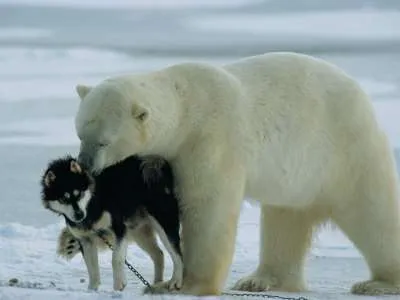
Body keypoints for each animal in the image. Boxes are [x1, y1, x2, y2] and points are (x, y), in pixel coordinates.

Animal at [41, 156, 183, 292]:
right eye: (63, 199)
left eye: (79, 194)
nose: (79, 215)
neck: (92, 207)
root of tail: (156, 164)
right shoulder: (85, 240)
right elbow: (91, 267)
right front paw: (92, 289)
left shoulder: (119, 230)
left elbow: (116, 258)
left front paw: (119, 284)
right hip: (139, 233)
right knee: (159, 254)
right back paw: (155, 284)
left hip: (164, 224)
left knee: (177, 254)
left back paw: (176, 280)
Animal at [73, 51, 400, 296]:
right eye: (80, 134)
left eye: (103, 141)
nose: (85, 165)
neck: (187, 104)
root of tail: (361, 96)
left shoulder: (209, 138)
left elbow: (207, 208)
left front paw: (188, 284)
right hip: (296, 178)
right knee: (284, 222)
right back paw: (260, 279)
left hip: (345, 149)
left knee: (374, 213)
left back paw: (377, 283)